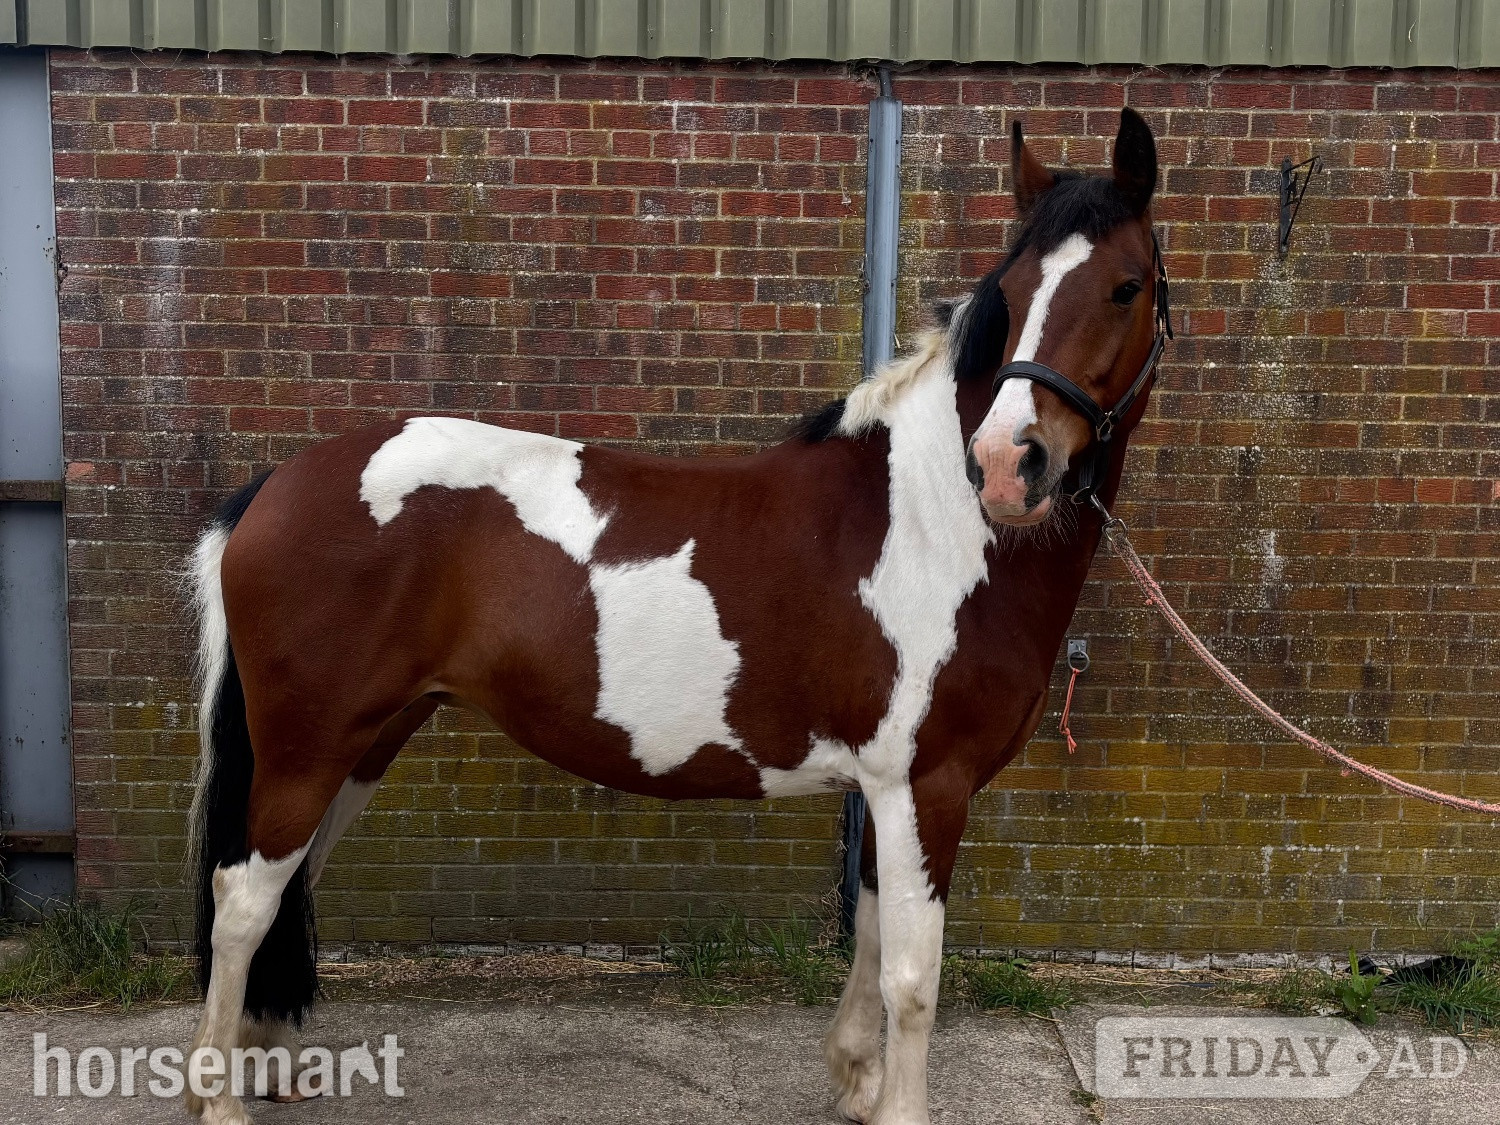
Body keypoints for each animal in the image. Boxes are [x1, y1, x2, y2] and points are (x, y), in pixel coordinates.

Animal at [184, 106, 1171, 1125]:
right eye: (1010, 293)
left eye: (1125, 286)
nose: (1011, 464)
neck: (930, 515)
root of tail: (275, 486)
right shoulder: (924, 786)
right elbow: (913, 976)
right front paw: (894, 1104)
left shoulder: (887, 787)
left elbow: (866, 934)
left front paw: (856, 1081)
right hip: (312, 748)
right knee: (244, 899)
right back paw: (219, 1096)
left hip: (365, 743)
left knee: (283, 886)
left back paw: (265, 1064)